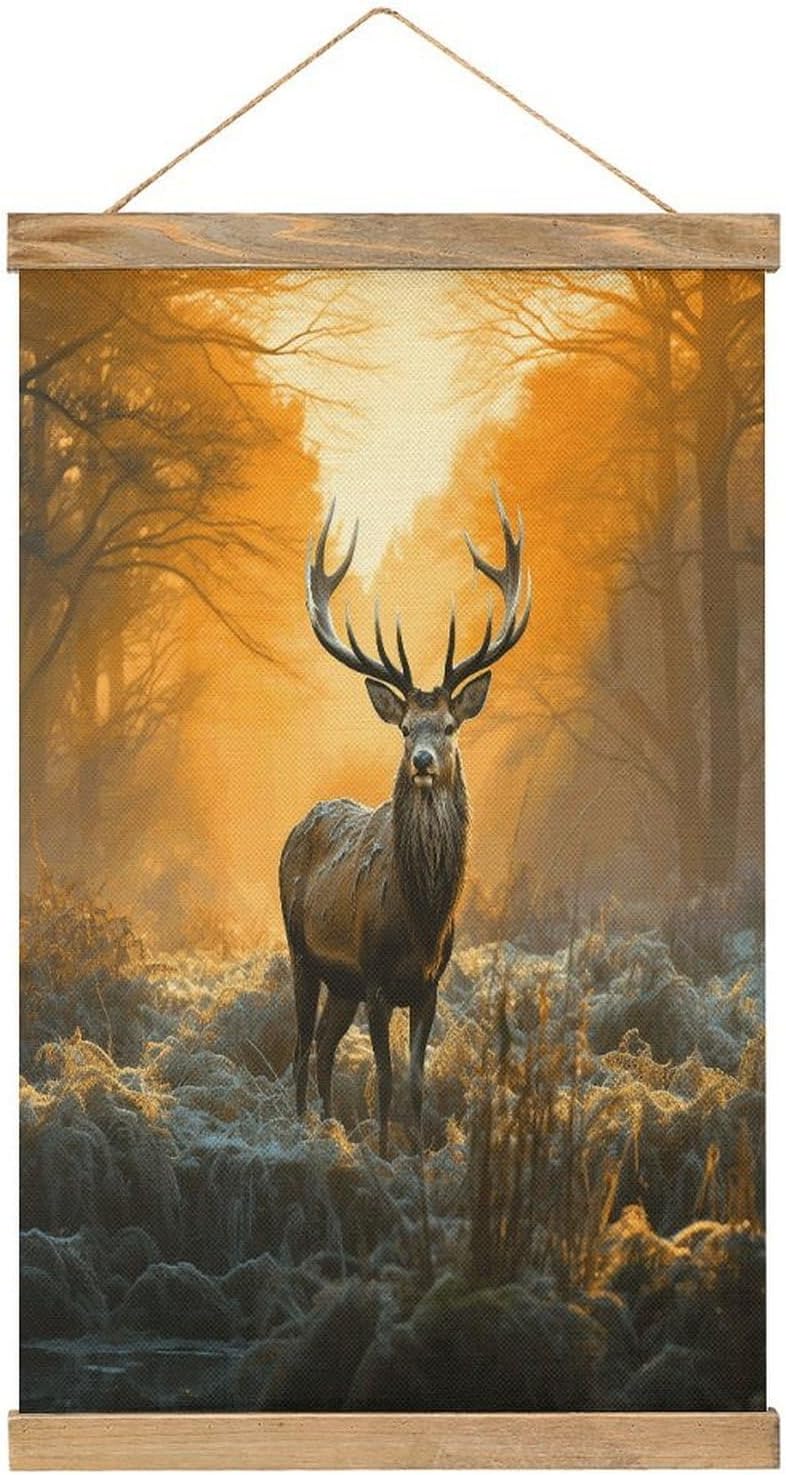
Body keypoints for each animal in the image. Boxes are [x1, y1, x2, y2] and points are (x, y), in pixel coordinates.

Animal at [279, 489, 531, 1155]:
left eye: (448, 726)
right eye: (404, 729)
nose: (421, 761)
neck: (421, 917)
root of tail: (297, 825)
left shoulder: (429, 984)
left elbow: (417, 1082)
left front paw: (417, 1156)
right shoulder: (375, 979)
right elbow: (387, 1081)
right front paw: (386, 1155)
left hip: (340, 983)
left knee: (322, 1047)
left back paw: (327, 1123)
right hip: (301, 953)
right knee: (299, 1043)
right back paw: (299, 1128)